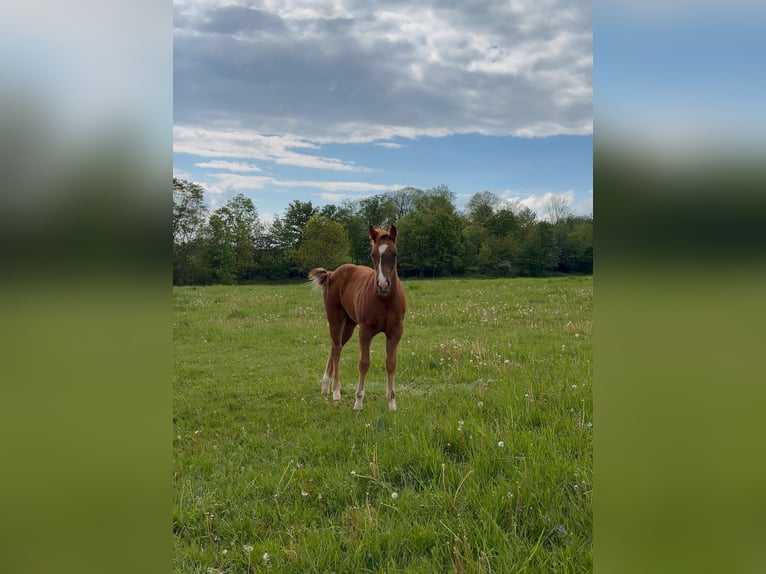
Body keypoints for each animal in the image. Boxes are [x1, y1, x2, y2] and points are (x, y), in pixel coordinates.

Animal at [308, 225, 407, 411]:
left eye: (394, 253)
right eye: (373, 255)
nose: (383, 284)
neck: (385, 300)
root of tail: (331, 273)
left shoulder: (396, 331)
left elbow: (391, 363)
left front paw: (391, 402)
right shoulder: (365, 330)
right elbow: (364, 363)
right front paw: (358, 402)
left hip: (349, 324)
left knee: (335, 346)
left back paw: (325, 386)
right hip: (336, 320)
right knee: (337, 349)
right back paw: (336, 393)